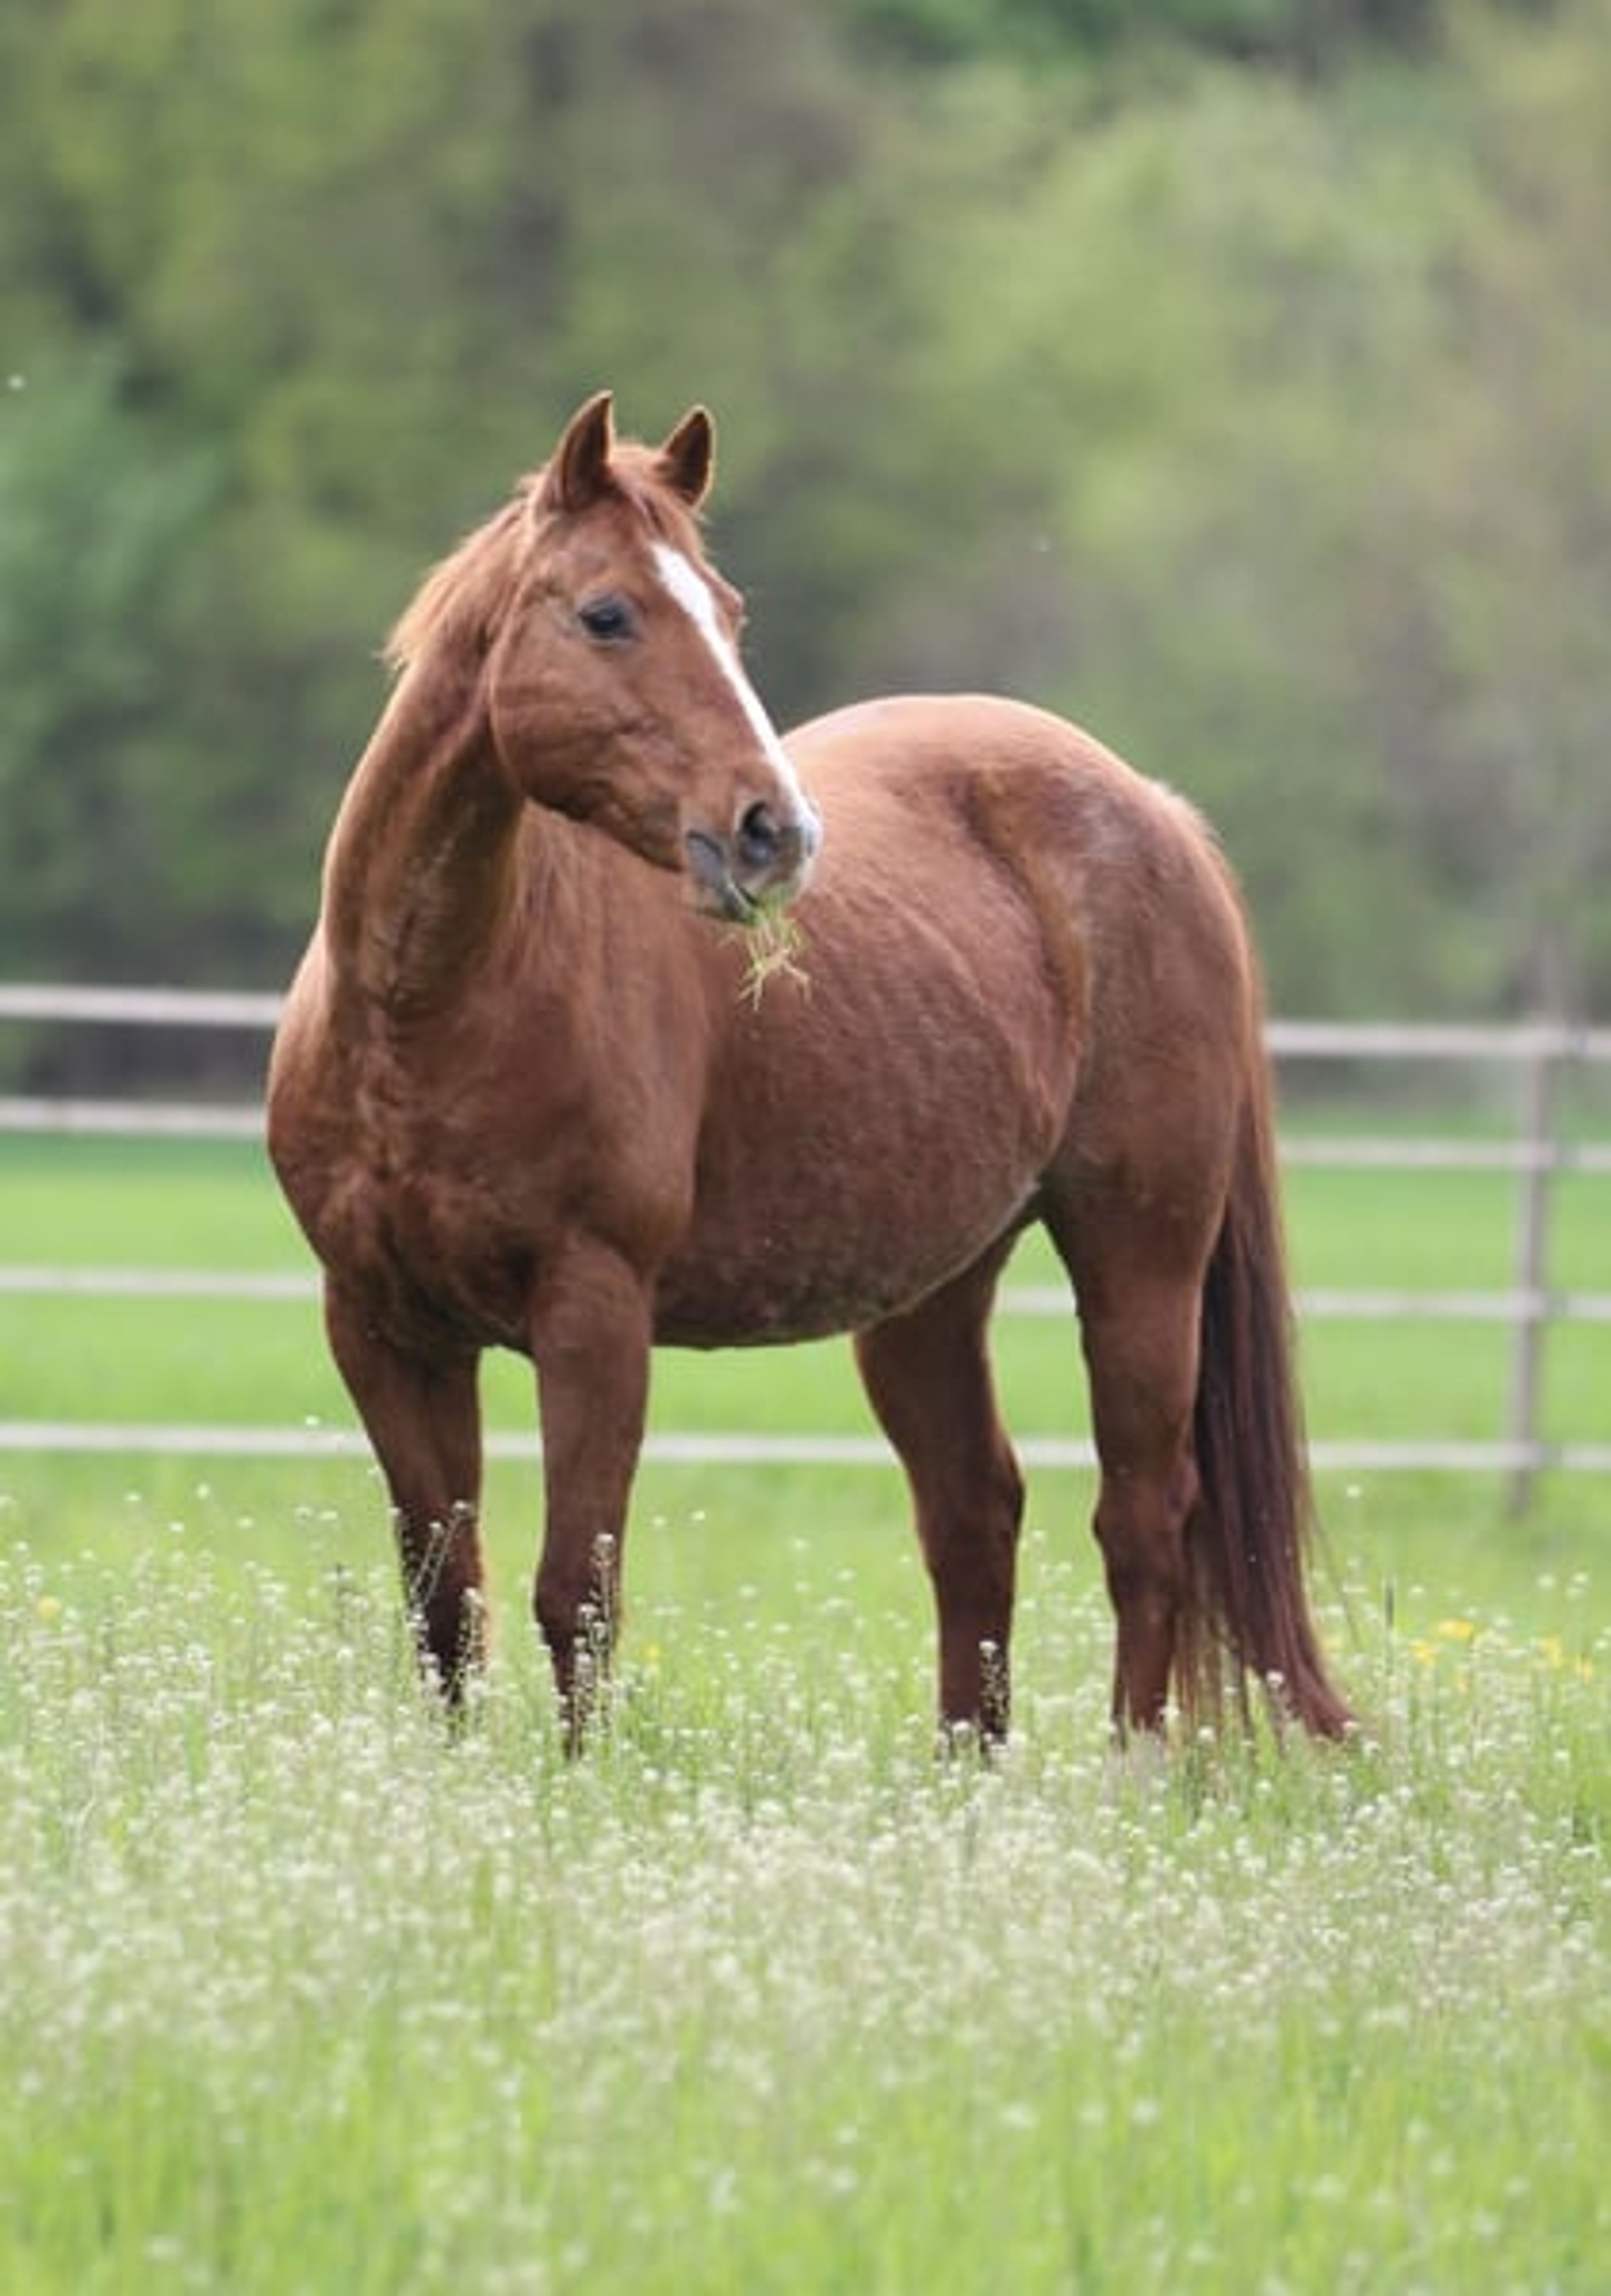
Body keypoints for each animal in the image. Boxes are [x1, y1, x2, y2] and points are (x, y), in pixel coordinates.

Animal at [267, 390, 1351, 1749]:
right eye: (607, 612)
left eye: (729, 613)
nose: (772, 833)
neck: (426, 1008)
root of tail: (1152, 810)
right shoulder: (378, 1325)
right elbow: (442, 1598)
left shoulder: (594, 1312)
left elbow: (576, 1590)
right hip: (929, 1293)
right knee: (974, 1515)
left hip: (1138, 1256)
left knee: (1142, 1521)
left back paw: (1128, 1776)